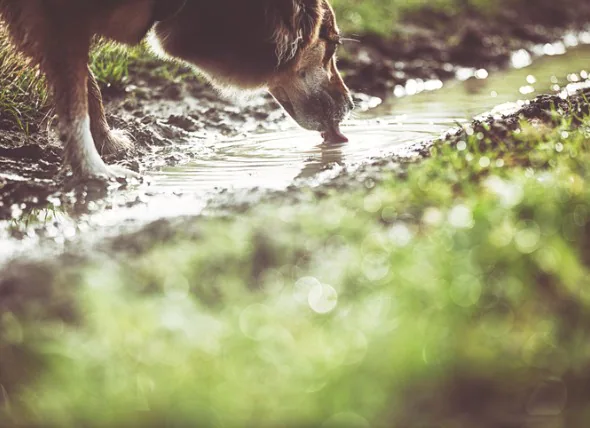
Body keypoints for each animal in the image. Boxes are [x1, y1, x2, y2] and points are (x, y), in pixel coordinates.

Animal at [0, 0, 352, 181]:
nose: (351, 105)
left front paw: (107, 142)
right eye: (332, 46)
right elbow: (74, 100)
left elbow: (87, 87)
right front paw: (94, 171)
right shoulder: (55, 13)